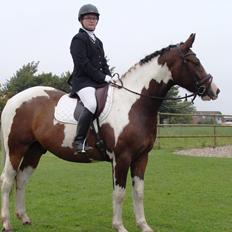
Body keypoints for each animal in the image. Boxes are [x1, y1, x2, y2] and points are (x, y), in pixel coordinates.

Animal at [0, 33, 220, 232]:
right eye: (195, 62)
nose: (215, 90)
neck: (134, 104)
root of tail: (13, 99)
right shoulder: (121, 158)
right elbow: (119, 193)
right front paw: (119, 226)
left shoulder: (142, 157)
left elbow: (139, 192)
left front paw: (143, 225)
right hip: (16, 149)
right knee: (7, 180)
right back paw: (7, 223)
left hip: (35, 150)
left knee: (22, 179)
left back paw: (24, 217)